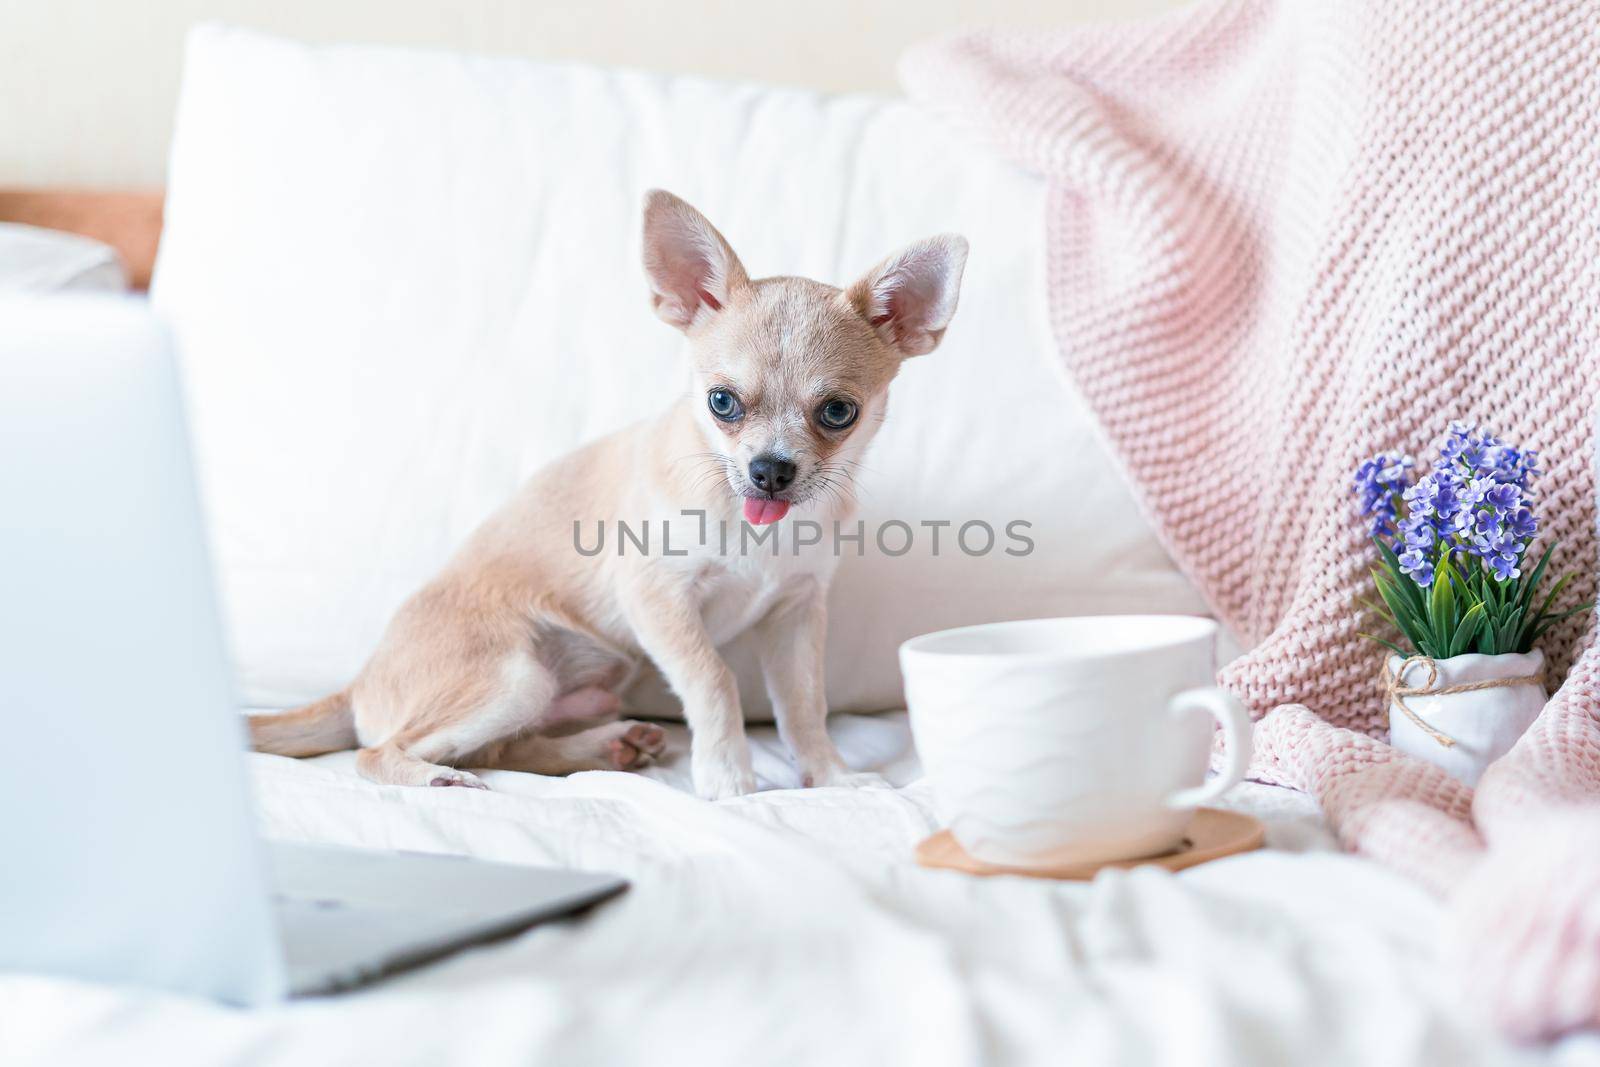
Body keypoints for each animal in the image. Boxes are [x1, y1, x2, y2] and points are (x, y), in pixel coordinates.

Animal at [252, 189, 960, 799]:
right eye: (722, 403)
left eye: (838, 413)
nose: (769, 470)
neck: (757, 527)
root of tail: (356, 684)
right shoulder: (658, 596)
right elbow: (715, 680)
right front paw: (727, 776)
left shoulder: (795, 613)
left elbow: (803, 704)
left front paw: (831, 776)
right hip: (514, 678)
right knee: (379, 752)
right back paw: (439, 778)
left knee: (504, 749)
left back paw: (603, 748)